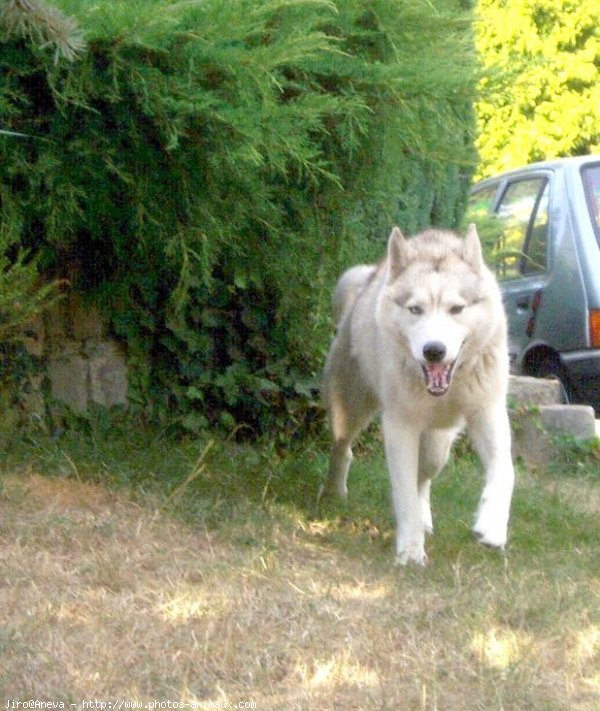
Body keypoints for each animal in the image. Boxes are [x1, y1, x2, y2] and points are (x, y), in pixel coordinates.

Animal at [324, 225, 516, 564]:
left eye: (456, 309)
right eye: (415, 309)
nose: (434, 350)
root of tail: (370, 277)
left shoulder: (488, 412)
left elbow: (505, 471)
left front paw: (492, 527)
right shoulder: (400, 426)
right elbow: (403, 494)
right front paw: (411, 552)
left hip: (438, 446)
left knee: (424, 475)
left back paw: (426, 517)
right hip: (351, 409)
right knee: (343, 448)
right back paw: (334, 492)